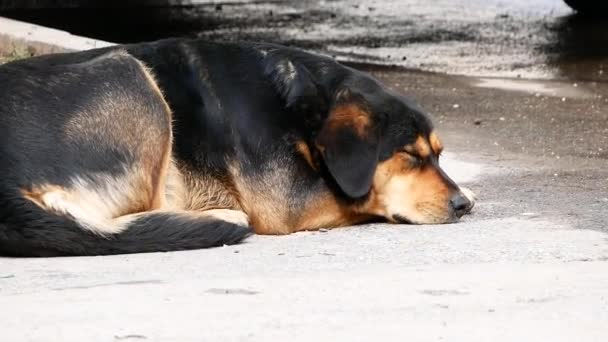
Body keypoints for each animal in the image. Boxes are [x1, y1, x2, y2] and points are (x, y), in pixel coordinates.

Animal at [0, 38, 476, 256]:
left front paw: (467, 189)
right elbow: (357, 197)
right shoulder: (286, 201)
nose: (458, 206)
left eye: (438, 154)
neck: (299, 101)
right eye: (410, 157)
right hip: (130, 77)